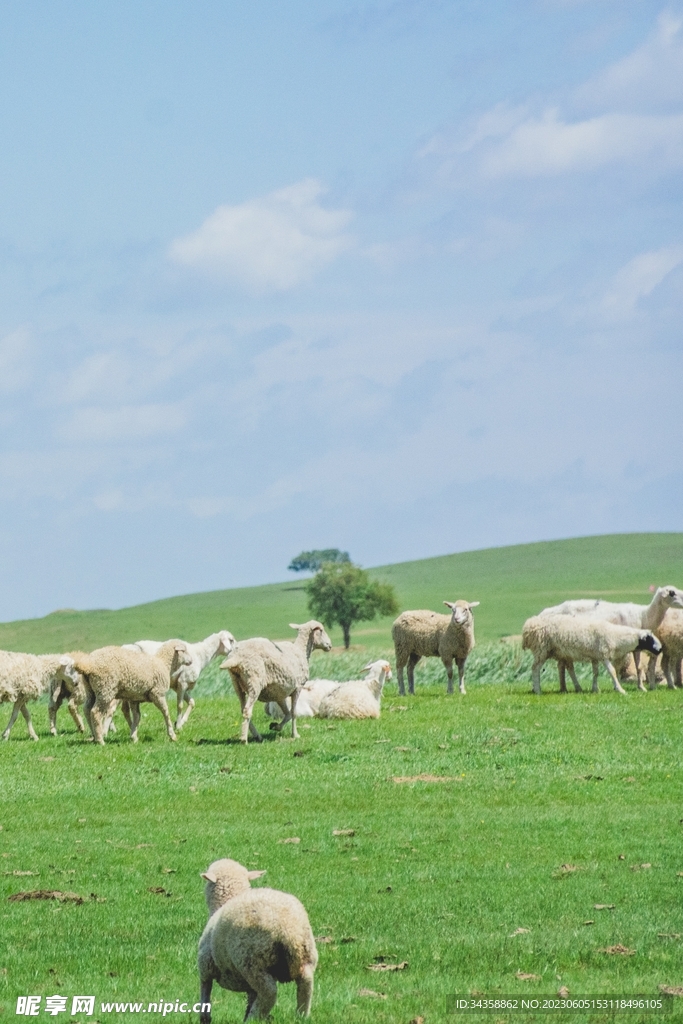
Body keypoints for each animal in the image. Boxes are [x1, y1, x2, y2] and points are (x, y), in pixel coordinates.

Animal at [194, 860, 317, 1019]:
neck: (228, 899)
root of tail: (287, 930)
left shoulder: (205, 967)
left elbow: (205, 996)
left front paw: (204, 1017)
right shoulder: (249, 987)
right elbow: (250, 998)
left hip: (253, 962)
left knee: (269, 992)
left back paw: (254, 1017)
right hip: (307, 956)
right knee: (305, 985)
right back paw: (300, 1016)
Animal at [524, 614, 663, 696]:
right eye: (649, 639)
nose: (660, 649)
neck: (615, 636)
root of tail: (529, 625)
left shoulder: (596, 656)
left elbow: (595, 673)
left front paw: (595, 689)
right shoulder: (604, 654)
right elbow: (612, 671)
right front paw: (620, 690)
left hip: (558, 652)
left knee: (567, 669)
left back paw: (574, 688)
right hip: (542, 649)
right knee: (535, 669)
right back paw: (538, 690)